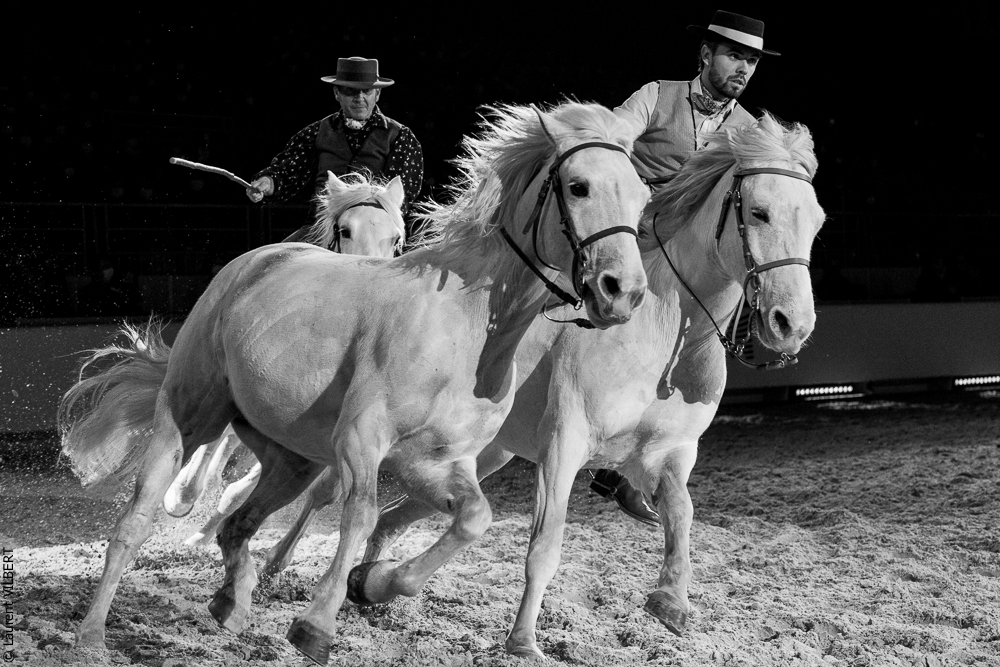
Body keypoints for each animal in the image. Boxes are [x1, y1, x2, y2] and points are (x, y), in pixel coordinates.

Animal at [59, 101, 650, 664]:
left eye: (642, 198)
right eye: (578, 186)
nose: (623, 292)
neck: (466, 325)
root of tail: (248, 264)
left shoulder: (436, 462)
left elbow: (474, 519)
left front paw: (374, 584)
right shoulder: (362, 439)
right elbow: (361, 515)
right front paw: (317, 625)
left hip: (290, 459)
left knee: (239, 522)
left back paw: (234, 601)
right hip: (187, 419)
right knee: (136, 523)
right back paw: (92, 634)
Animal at [245, 112, 825, 659]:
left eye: (816, 221)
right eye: (759, 212)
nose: (791, 325)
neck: (661, 327)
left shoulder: (673, 454)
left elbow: (682, 516)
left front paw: (671, 601)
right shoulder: (564, 446)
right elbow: (546, 545)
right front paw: (524, 640)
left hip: (482, 455)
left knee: (392, 519)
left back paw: (370, 586)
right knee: (327, 493)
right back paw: (280, 567)